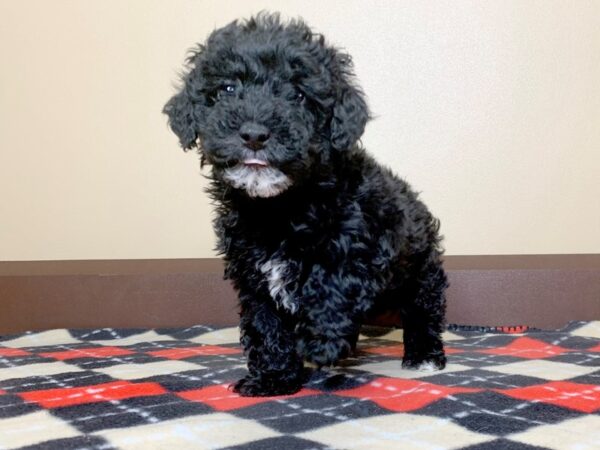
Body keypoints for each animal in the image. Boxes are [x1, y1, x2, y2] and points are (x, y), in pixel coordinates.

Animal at [164, 12, 446, 396]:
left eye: (298, 95)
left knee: (423, 307)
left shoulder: (363, 244)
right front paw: (274, 377)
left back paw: (424, 355)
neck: (278, 207)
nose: (254, 134)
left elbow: (333, 283)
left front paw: (321, 343)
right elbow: (266, 325)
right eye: (227, 90)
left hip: (419, 268)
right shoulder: (253, 275)